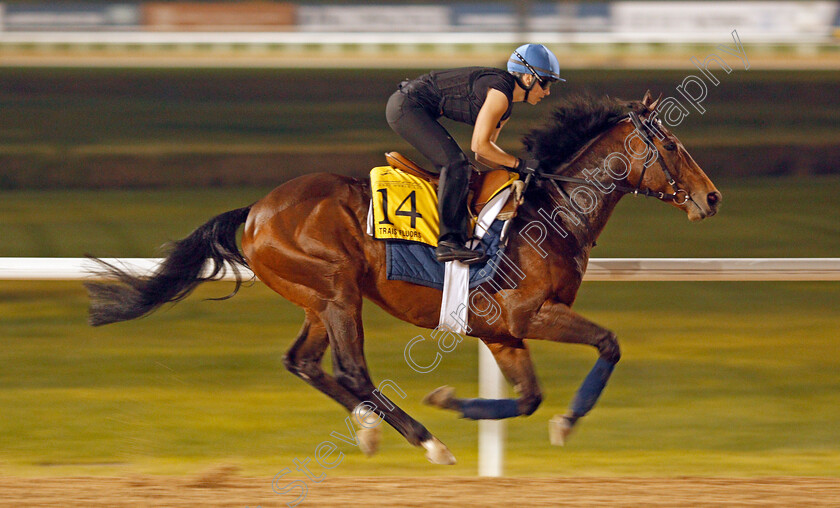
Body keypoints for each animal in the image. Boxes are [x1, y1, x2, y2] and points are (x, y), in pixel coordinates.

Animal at [88, 91, 724, 464]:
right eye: (671, 143)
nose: (712, 197)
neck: (552, 210)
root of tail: (256, 212)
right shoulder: (528, 314)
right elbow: (607, 344)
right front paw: (566, 423)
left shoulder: (500, 331)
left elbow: (528, 398)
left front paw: (456, 401)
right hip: (338, 290)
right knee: (352, 368)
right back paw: (425, 440)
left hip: (316, 299)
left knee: (302, 361)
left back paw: (371, 427)